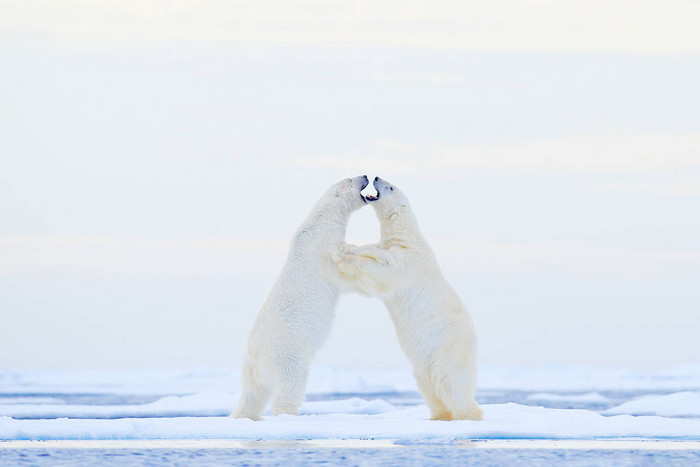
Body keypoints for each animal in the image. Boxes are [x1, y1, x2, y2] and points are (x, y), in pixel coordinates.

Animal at [231, 175, 372, 420]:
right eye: (350, 179)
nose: (365, 175)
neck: (320, 220)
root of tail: (255, 358)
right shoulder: (324, 244)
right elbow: (340, 267)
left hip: (251, 370)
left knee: (252, 394)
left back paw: (246, 416)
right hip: (288, 352)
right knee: (291, 381)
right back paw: (290, 414)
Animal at [334, 177, 482, 422]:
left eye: (390, 187)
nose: (376, 177)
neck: (407, 237)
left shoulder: (408, 261)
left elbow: (383, 272)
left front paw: (345, 258)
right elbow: (372, 252)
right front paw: (350, 248)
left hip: (448, 347)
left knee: (450, 384)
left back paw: (469, 415)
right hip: (424, 363)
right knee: (429, 388)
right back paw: (438, 416)